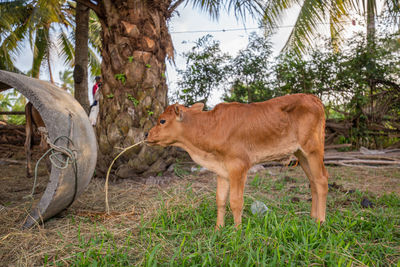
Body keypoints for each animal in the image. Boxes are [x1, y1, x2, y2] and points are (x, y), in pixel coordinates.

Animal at [147, 94, 328, 228]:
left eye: (162, 121)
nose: (146, 134)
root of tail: (312, 98)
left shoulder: (238, 166)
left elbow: (235, 201)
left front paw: (237, 231)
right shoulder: (222, 170)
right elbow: (220, 200)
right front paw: (218, 229)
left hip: (313, 149)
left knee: (321, 180)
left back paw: (321, 221)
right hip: (301, 153)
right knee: (312, 181)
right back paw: (312, 218)